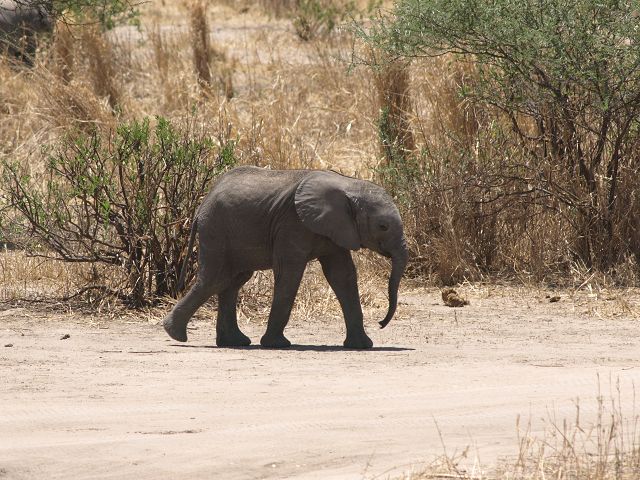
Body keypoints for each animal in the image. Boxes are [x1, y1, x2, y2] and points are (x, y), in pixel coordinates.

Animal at [163, 166, 408, 349]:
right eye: (383, 226)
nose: (381, 323)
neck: (348, 185)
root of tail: (201, 205)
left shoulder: (336, 230)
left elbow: (342, 276)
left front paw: (362, 345)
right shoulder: (293, 224)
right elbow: (290, 274)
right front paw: (277, 344)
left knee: (232, 281)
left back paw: (232, 342)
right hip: (216, 231)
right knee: (215, 279)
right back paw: (176, 335)